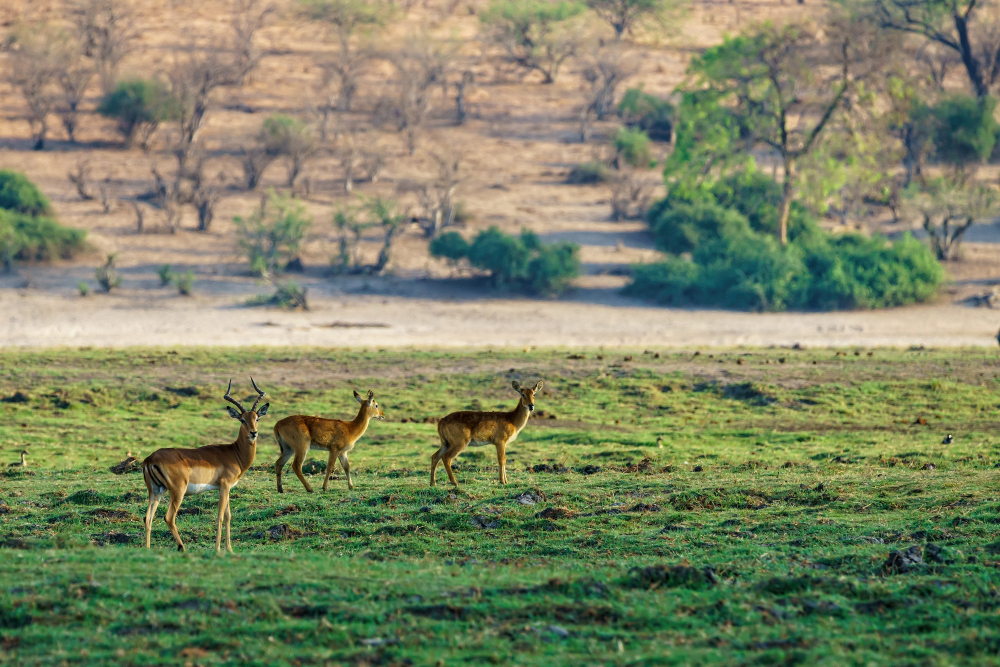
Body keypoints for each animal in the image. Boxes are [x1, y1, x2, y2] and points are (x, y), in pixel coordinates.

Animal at [141, 378, 272, 556]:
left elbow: (228, 516)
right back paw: (182, 547)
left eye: (257, 418)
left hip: (155, 491)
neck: (234, 452)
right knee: (169, 517)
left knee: (148, 517)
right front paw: (217, 549)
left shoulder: (226, 488)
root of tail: (150, 459)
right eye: (242, 419)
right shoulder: (224, 486)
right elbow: (220, 516)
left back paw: (147, 549)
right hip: (177, 492)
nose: (253, 433)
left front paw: (229, 549)